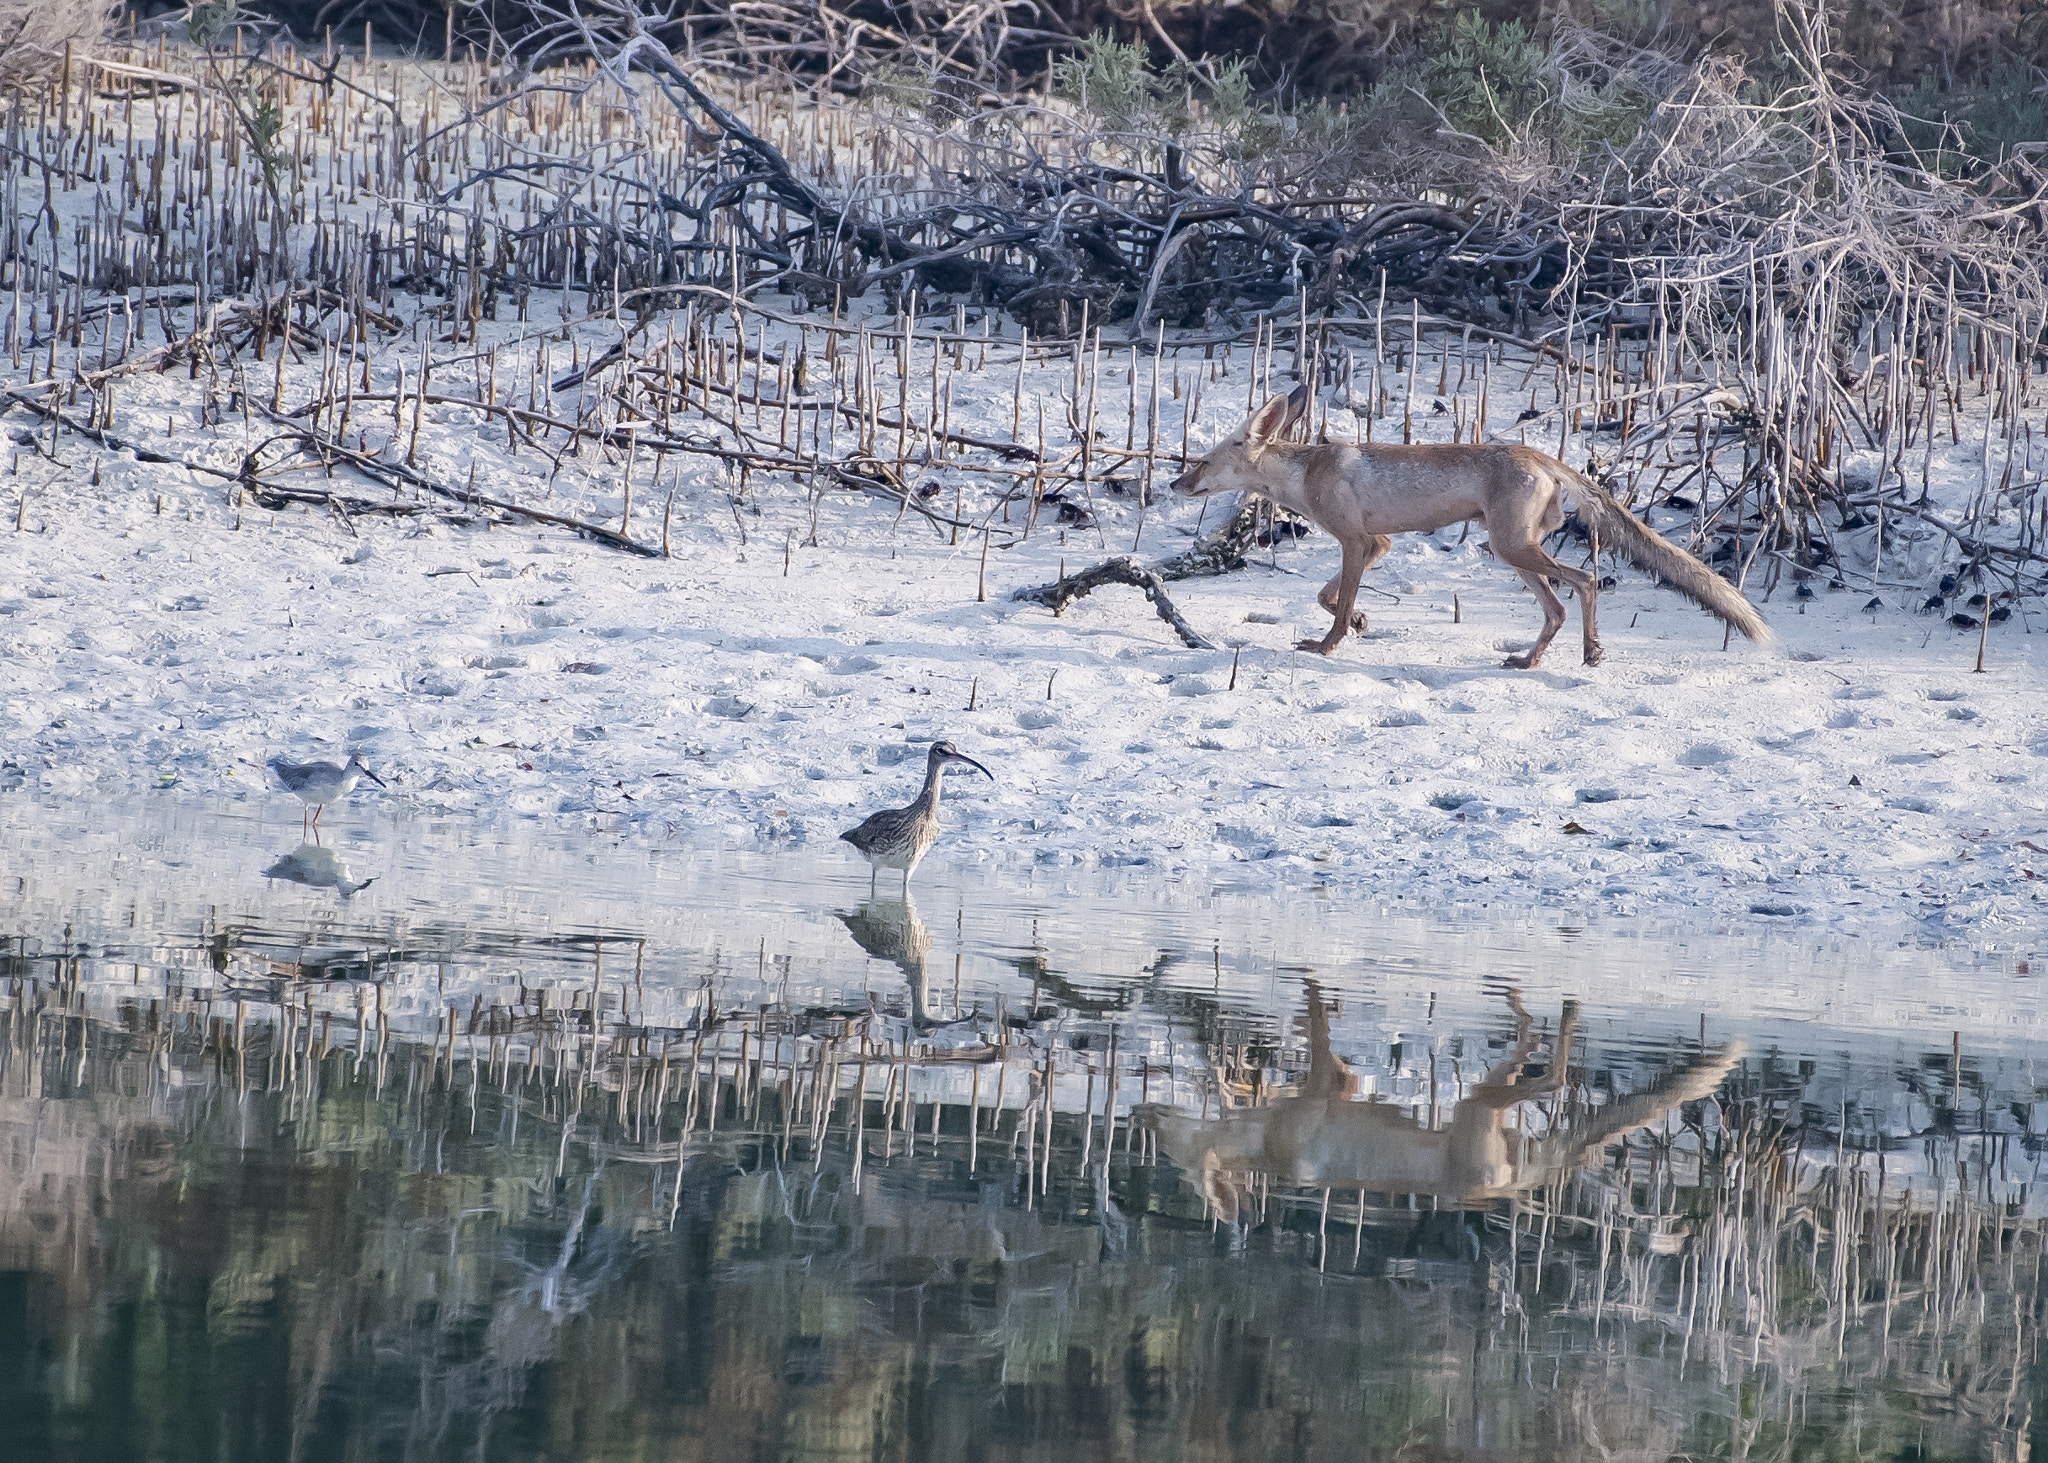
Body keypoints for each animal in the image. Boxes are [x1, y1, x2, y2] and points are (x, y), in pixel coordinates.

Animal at [1170, 384, 1773, 667]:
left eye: (1203, 461)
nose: (1175, 484)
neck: (1306, 473)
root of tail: (1539, 454)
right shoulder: (1376, 543)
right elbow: (1328, 596)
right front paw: (1361, 620)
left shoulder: (1355, 540)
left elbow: (1335, 609)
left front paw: (1329, 645)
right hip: (1512, 552)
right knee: (1556, 608)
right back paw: (1529, 661)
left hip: (1512, 549)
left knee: (1584, 582)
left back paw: (1591, 650)